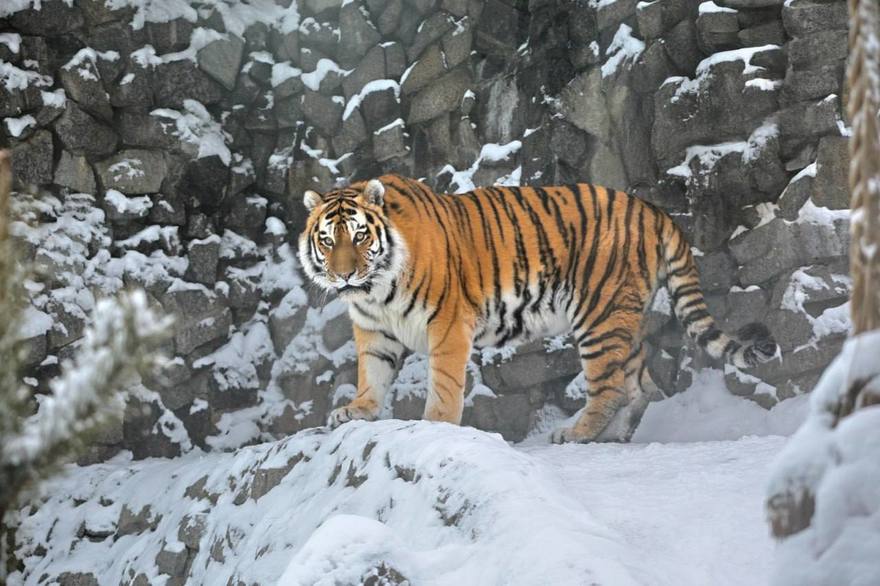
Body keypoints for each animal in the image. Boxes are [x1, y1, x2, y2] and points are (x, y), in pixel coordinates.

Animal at [297, 174, 778, 443]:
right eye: (328, 239)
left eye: (360, 236)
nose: (344, 276)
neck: (375, 291)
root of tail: (652, 209)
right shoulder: (374, 331)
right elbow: (372, 374)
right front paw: (357, 410)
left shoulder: (447, 323)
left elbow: (445, 384)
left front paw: (435, 424)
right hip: (625, 317)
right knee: (642, 386)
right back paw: (616, 436)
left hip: (598, 314)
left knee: (611, 387)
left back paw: (576, 434)